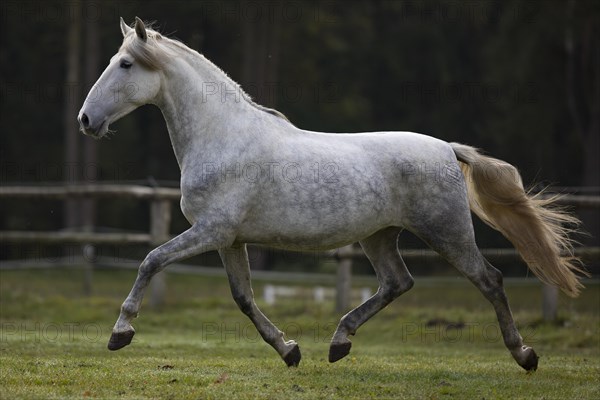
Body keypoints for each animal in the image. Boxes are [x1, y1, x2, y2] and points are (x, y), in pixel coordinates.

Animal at [77, 18, 584, 368]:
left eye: (125, 64)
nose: (85, 120)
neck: (223, 136)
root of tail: (447, 148)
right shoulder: (229, 240)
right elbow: (244, 299)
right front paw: (289, 350)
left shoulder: (211, 231)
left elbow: (151, 261)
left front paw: (120, 334)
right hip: (379, 236)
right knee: (398, 282)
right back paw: (339, 343)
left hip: (447, 233)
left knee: (490, 280)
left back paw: (525, 355)